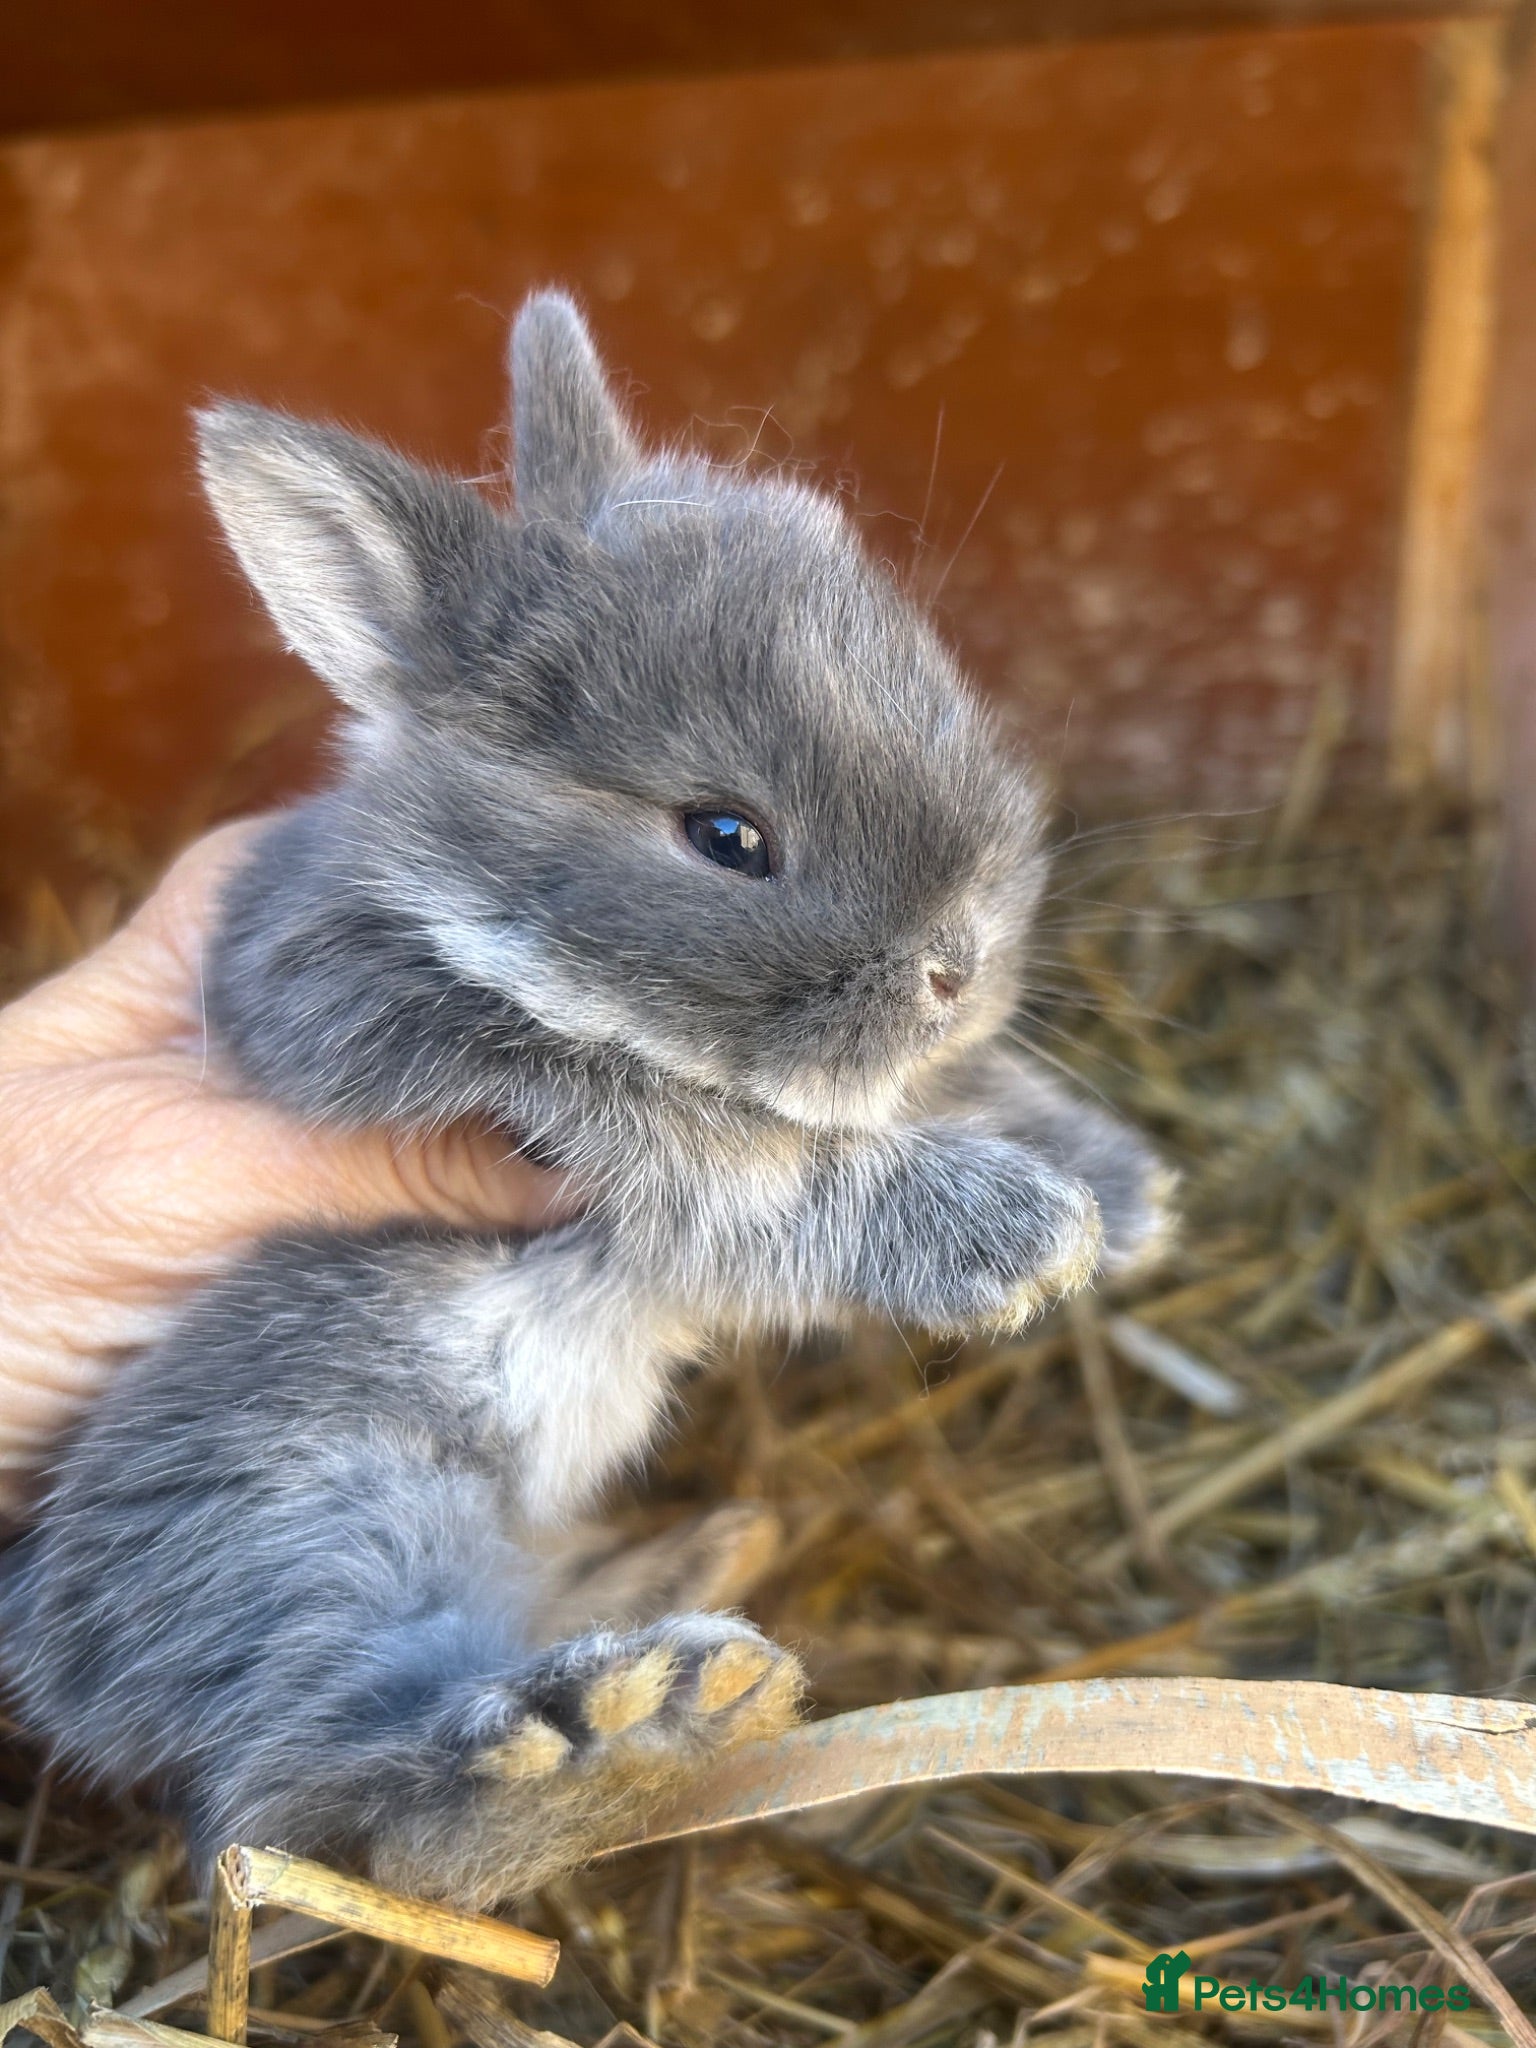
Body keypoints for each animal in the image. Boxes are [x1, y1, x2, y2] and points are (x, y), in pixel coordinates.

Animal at [0, 292, 1172, 1910]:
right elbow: (738, 1155)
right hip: (304, 1503)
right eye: (725, 835)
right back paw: (606, 1747)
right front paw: (1016, 1239)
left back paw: (690, 1583)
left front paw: (1118, 1191)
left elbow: (933, 1096)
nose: (961, 962)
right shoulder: (450, 1060)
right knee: (321, 1799)